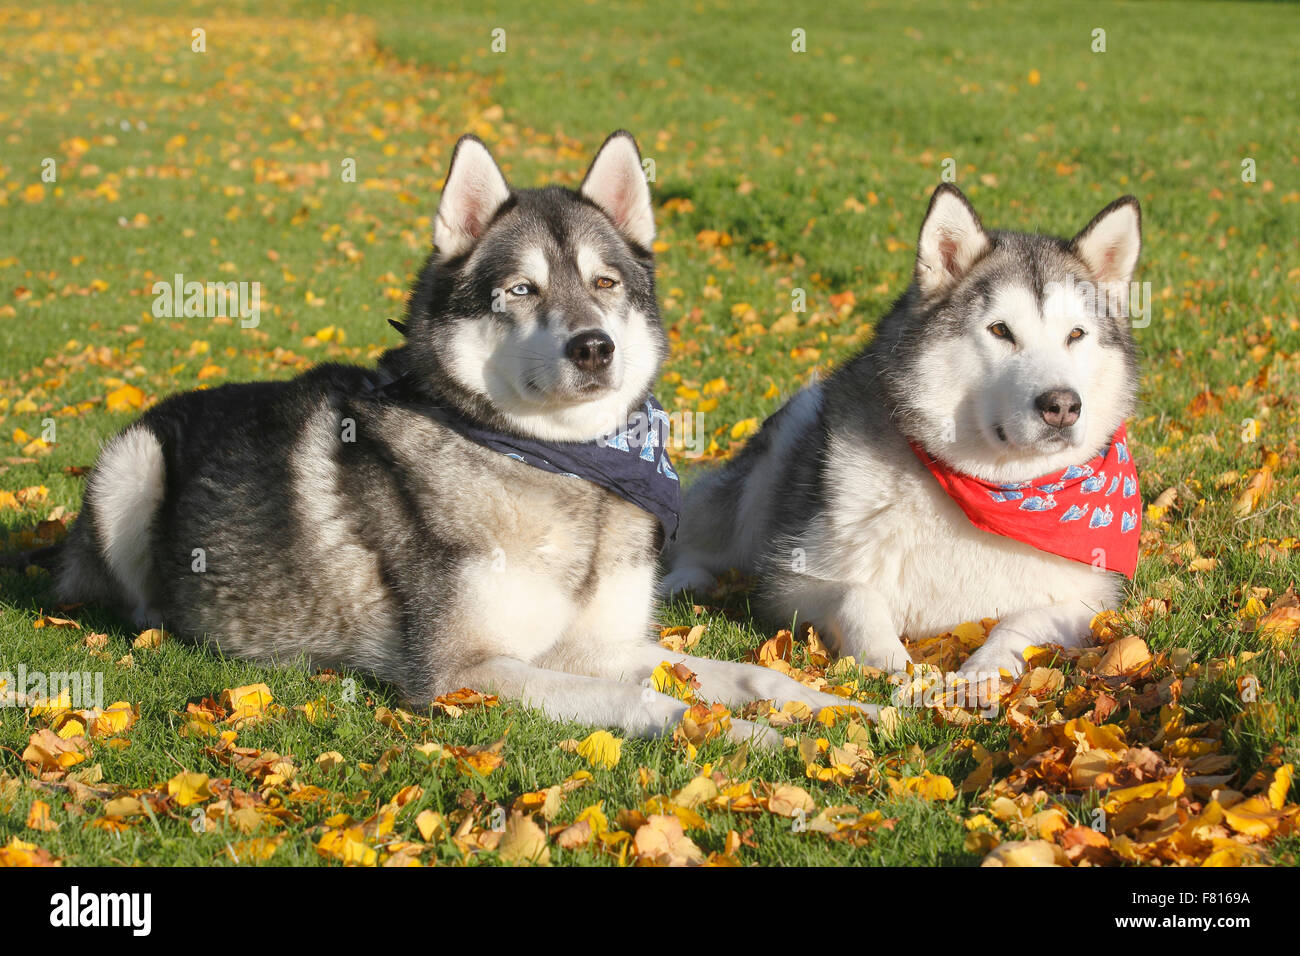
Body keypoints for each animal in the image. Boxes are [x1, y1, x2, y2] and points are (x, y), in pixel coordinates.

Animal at [53, 130, 873, 743]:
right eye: (521, 290)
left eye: (605, 283)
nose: (594, 347)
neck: (571, 468)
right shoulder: (465, 673)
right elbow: (650, 702)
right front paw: (737, 733)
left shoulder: (597, 645)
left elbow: (749, 673)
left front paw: (835, 706)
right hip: (132, 464)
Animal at [665, 187, 1144, 681]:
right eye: (1000, 330)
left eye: (1076, 334)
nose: (1063, 406)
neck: (999, 491)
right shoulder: (789, 580)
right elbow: (855, 594)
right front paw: (887, 658)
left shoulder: (1089, 599)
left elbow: (1021, 623)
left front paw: (983, 671)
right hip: (774, 461)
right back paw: (686, 580)